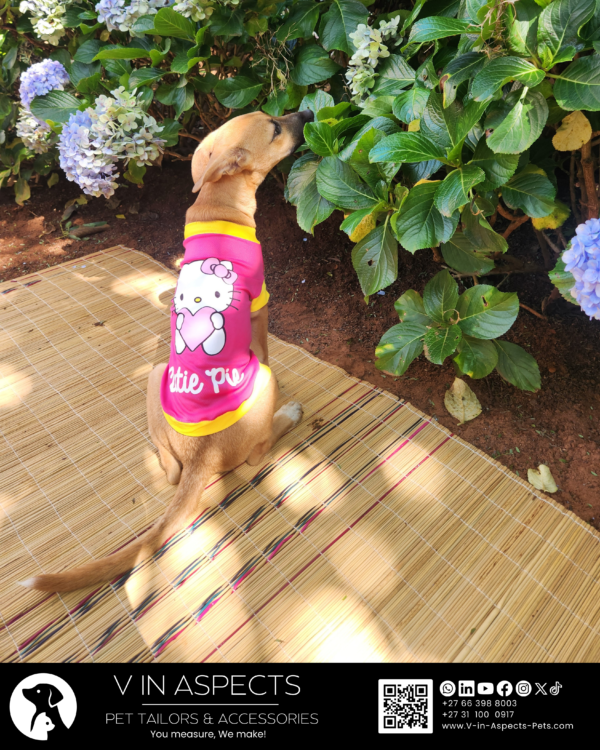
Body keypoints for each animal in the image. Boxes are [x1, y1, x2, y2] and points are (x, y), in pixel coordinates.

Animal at [21, 108, 314, 593]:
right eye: (274, 127)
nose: (308, 112)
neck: (219, 203)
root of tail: (202, 457)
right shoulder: (261, 307)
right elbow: (267, 349)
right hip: (252, 407)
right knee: (257, 453)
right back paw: (287, 415)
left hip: (157, 370)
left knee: (170, 467)